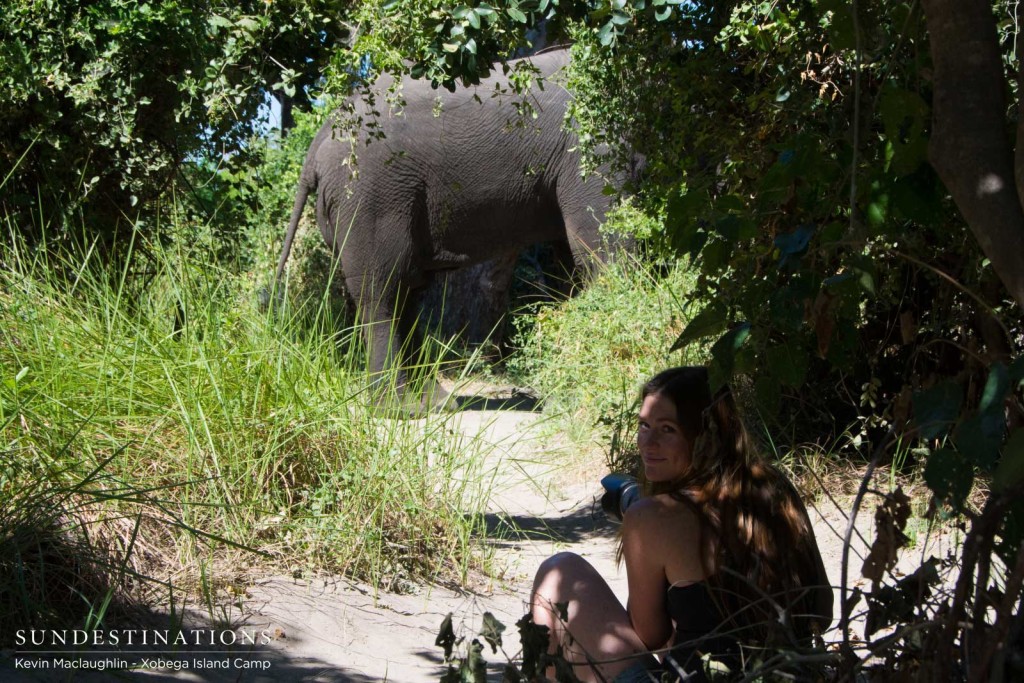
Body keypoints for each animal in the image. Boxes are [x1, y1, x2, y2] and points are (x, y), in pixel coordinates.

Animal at [276, 49, 634, 411]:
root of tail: (323, 133)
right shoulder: (590, 141)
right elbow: (600, 246)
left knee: (407, 289)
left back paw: (432, 403)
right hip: (369, 194)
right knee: (382, 291)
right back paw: (400, 409)